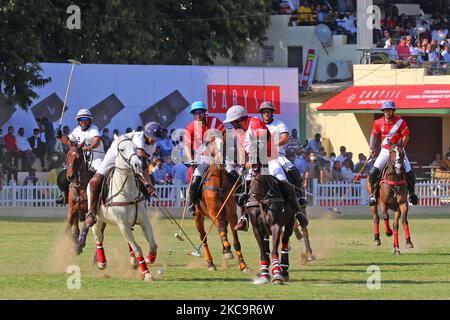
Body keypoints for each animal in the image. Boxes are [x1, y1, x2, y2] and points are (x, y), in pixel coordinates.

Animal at [91, 136, 158, 282]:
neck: (128, 192)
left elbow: (153, 245)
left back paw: (133, 262)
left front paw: (148, 259)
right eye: (121, 149)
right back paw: (102, 263)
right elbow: (138, 249)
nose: (137, 164)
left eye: (135, 147)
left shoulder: (144, 221)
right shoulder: (123, 225)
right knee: (97, 236)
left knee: (128, 243)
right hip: (98, 219)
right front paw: (147, 274)